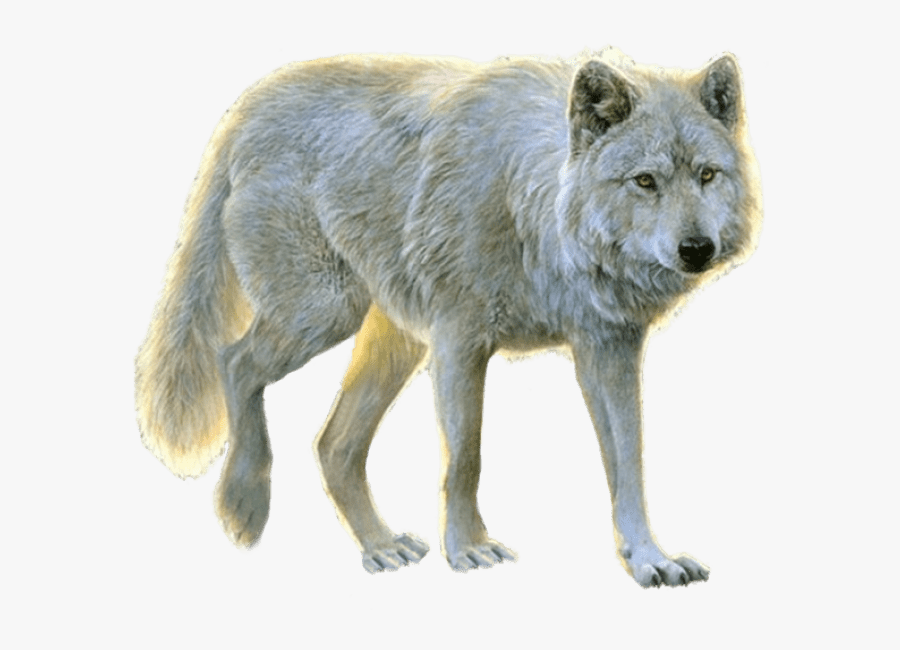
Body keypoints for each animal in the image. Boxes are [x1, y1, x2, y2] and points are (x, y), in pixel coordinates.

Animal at [135, 48, 761, 587]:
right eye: (645, 181)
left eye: (707, 175)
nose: (696, 249)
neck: (531, 207)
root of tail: (252, 103)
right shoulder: (460, 341)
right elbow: (466, 459)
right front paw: (467, 548)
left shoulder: (608, 348)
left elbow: (629, 463)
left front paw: (650, 559)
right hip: (323, 313)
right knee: (233, 361)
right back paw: (244, 504)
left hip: (393, 344)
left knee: (332, 445)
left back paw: (380, 546)